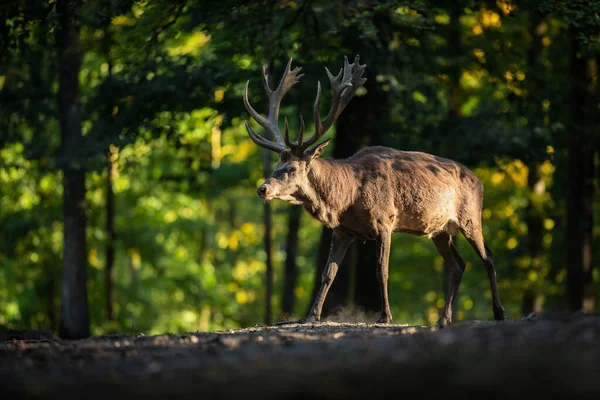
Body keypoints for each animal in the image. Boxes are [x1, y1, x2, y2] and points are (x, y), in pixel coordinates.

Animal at [241, 54, 504, 326]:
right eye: (275, 166)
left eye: (292, 168)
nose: (262, 189)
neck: (346, 198)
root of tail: (479, 181)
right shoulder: (343, 230)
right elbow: (328, 273)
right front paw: (311, 315)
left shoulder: (385, 220)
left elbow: (381, 270)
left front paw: (385, 316)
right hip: (440, 230)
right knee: (458, 266)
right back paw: (444, 319)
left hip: (470, 216)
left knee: (488, 257)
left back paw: (498, 312)